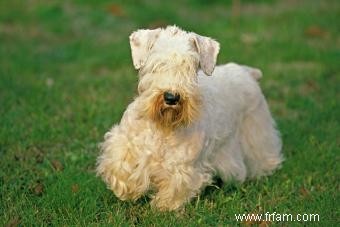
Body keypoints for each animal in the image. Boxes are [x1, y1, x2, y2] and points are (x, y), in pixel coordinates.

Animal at [97, 25, 282, 211]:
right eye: (157, 64)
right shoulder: (124, 142)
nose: (171, 97)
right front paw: (128, 190)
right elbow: (120, 165)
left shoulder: (183, 166)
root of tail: (248, 73)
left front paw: (162, 208)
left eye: (191, 67)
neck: (163, 126)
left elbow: (175, 188)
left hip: (256, 133)